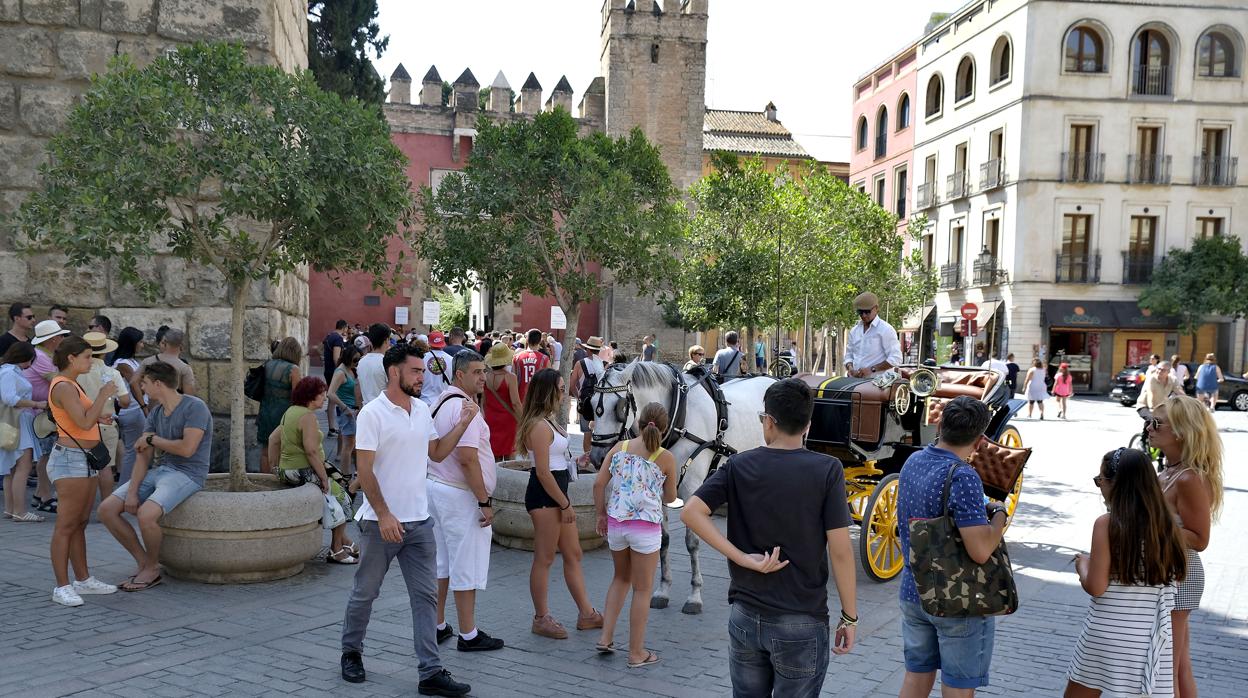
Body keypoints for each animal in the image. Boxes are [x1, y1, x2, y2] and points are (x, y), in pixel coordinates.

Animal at [584, 362, 768, 614]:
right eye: (591, 405)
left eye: (619, 407)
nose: (597, 457)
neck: (678, 417)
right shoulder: (658, 492)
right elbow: (664, 541)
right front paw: (663, 590)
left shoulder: (692, 491)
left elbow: (692, 542)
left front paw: (695, 595)